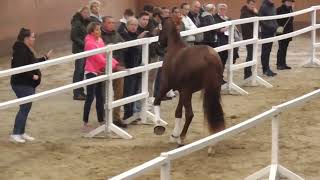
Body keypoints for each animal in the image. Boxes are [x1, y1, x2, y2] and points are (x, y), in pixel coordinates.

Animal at [154, 16, 226, 146]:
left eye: (159, 28)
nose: (157, 47)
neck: (175, 48)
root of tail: (209, 57)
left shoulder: (166, 85)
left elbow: (156, 101)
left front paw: (158, 126)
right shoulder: (181, 91)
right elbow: (178, 112)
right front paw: (174, 135)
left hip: (187, 92)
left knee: (190, 114)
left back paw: (181, 139)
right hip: (210, 89)